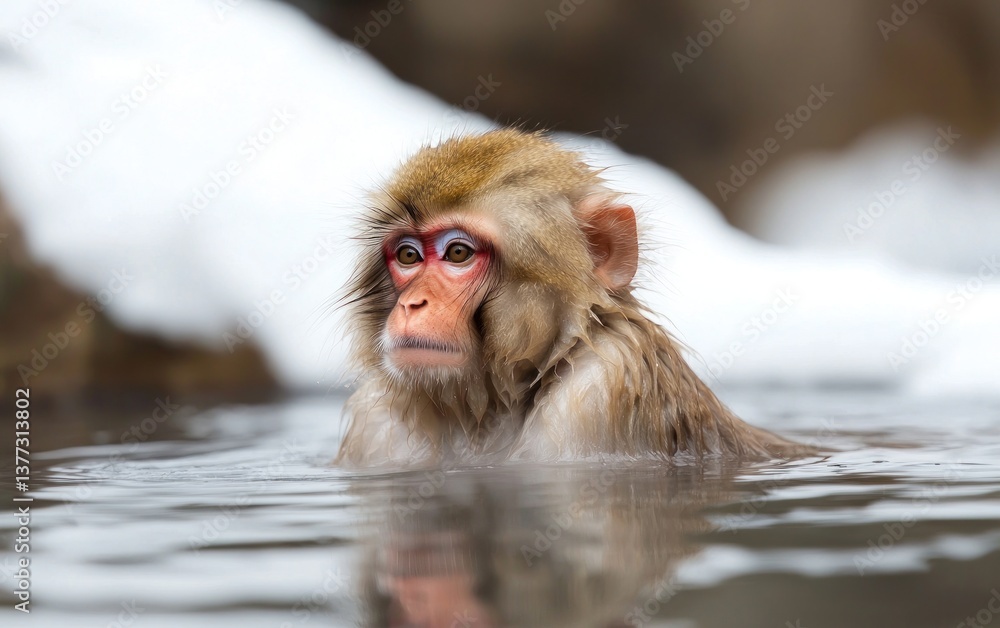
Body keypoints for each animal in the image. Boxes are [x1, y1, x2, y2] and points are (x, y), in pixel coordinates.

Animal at [337, 129, 809, 467]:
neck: (491, 407)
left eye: (457, 253)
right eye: (408, 256)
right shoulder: (375, 422)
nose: (412, 304)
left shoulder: (600, 391)